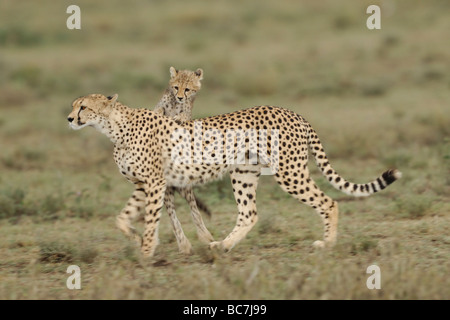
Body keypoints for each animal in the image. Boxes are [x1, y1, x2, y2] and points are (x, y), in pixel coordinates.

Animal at [67, 94, 400, 258]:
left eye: (83, 106)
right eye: (74, 105)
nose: (69, 118)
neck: (114, 127)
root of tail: (294, 113)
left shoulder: (155, 183)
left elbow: (151, 219)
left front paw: (147, 249)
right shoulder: (144, 184)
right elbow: (122, 218)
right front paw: (137, 238)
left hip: (289, 172)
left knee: (329, 203)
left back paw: (327, 245)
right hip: (243, 174)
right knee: (249, 214)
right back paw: (223, 246)